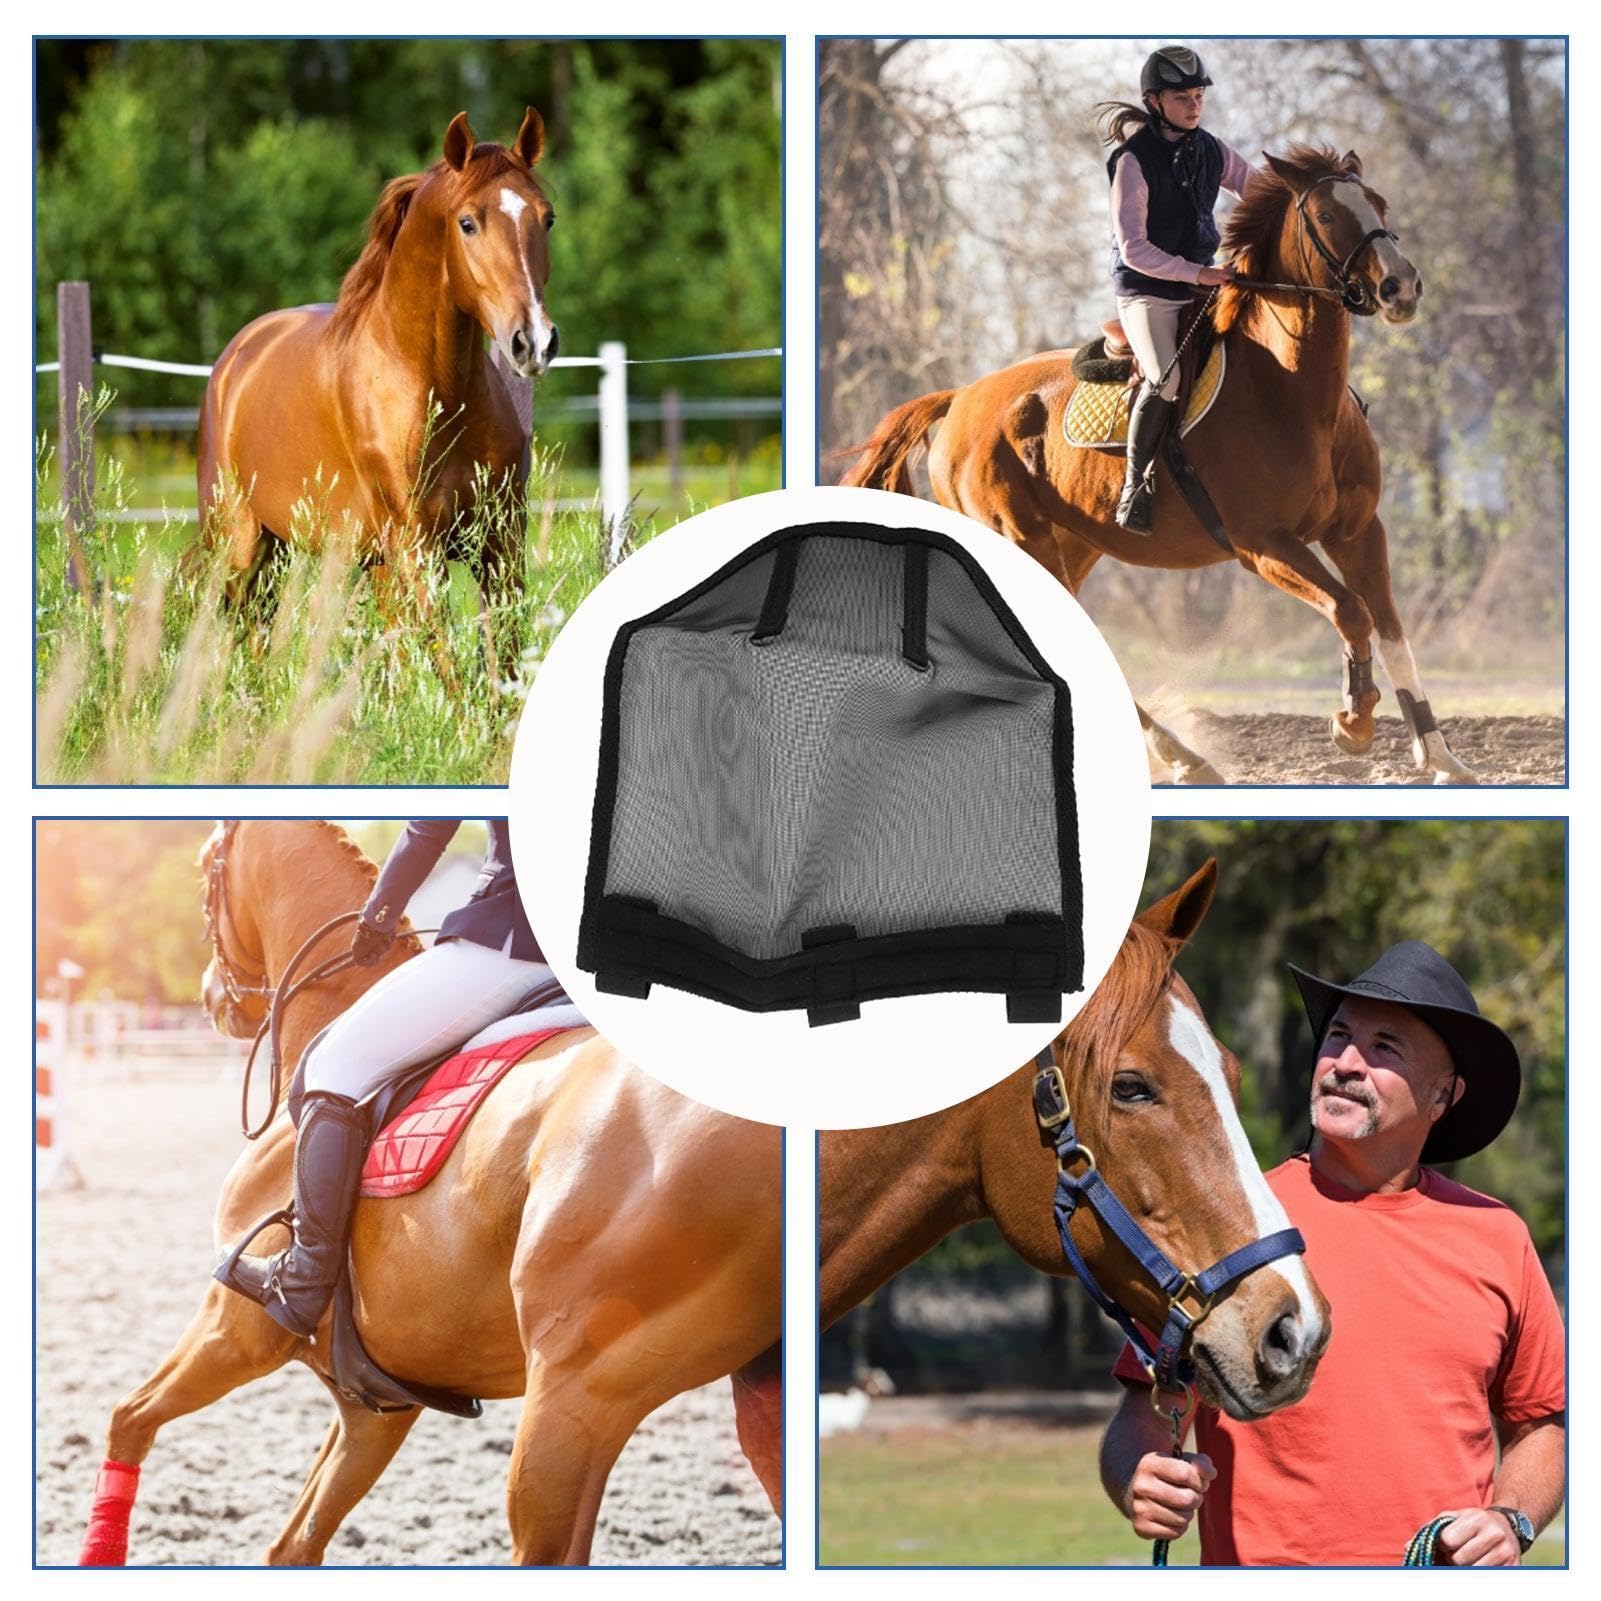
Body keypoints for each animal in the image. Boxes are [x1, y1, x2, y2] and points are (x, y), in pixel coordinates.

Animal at [82, 820, 781, 1567]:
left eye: (205, 866)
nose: (214, 997)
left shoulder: (233, 1330)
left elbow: (127, 1418)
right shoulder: (376, 1405)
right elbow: (294, 1545)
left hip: (577, 1396)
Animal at [197, 110, 558, 607]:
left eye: (548, 218)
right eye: (467, 223)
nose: (534, 341)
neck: (437, 393)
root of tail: (237, 355)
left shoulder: (499, 548)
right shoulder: (417, 550)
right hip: (238, 548)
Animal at [839, 145, 1475, 787]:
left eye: (1379, 204)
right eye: (1324, 215)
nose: (1401, 287)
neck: (1292, 393)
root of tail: (960, 397)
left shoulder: (1358, 533)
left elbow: (1391, 631)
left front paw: (1441, 757)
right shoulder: (1263, 545)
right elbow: (1350, 610)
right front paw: (1354, 722)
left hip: (1073, 544)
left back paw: (1180, 754)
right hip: (1021, 538)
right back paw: (1181, 756)